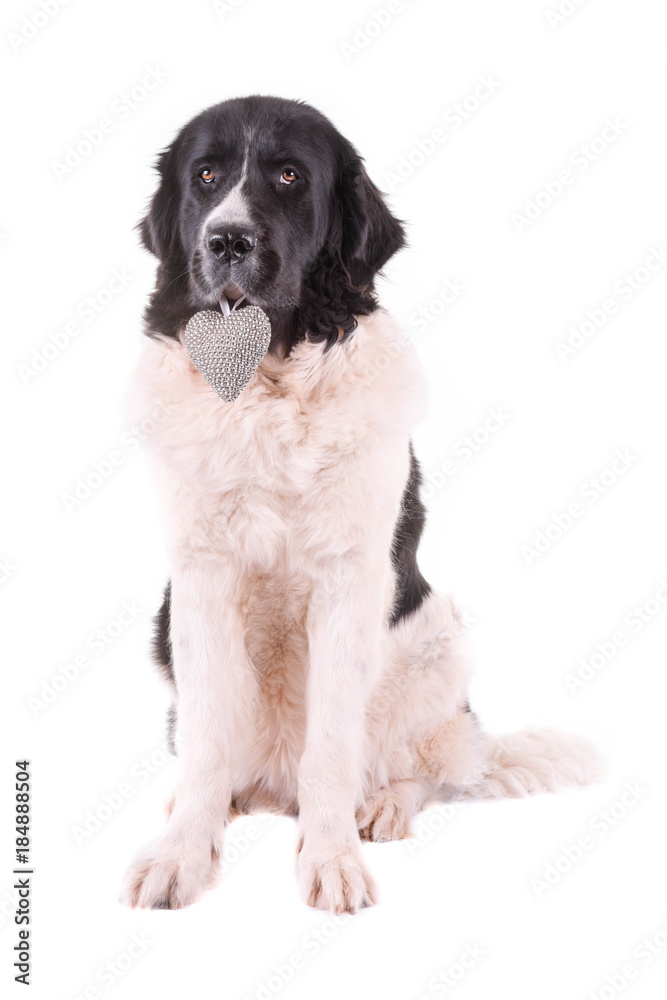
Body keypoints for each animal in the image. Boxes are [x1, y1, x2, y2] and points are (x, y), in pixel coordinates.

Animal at [121, 94, 604, 916]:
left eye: (289, 175)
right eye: (206, 175)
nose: (227, 239)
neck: (267, 371)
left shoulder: (349, 578)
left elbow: (333, 747)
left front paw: (331, 860)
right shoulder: (200, 577)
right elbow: (210, 737)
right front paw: (183, 854)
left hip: (437, 641)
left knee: (426, 768)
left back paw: (380, 807)